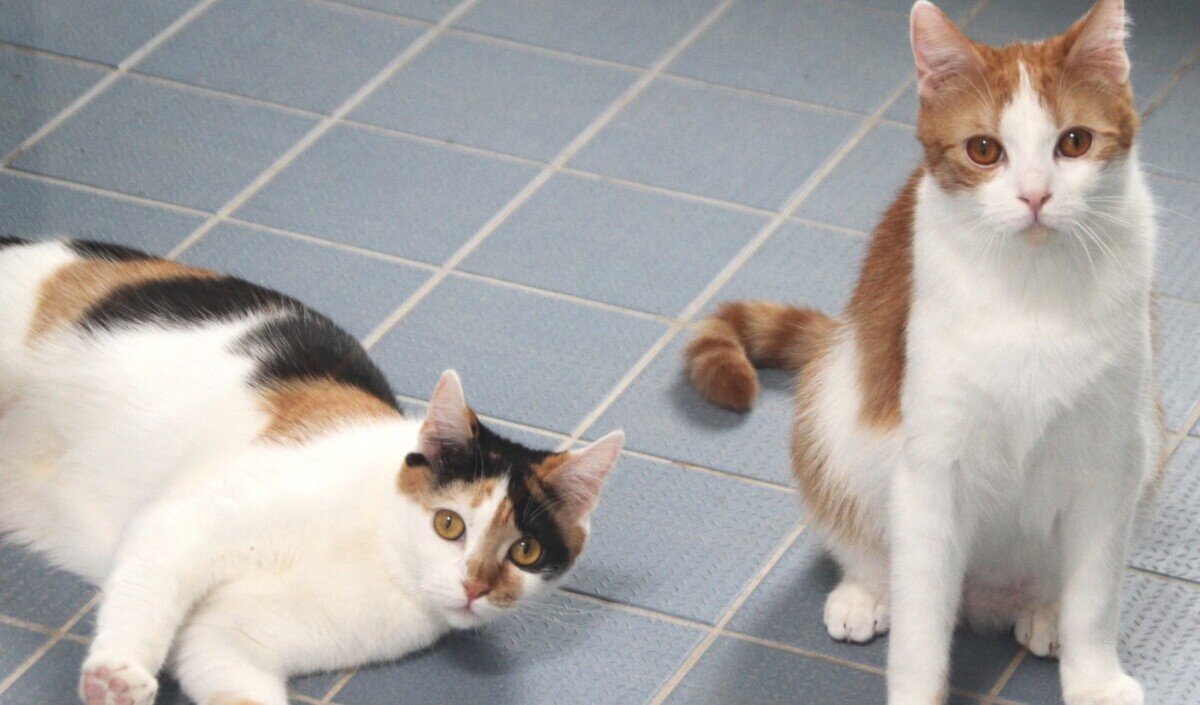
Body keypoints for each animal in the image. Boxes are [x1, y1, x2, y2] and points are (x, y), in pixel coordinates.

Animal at [0, 236, 624, 705]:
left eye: (525, 552)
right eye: (449, 524)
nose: (475, 586)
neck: (376, 553)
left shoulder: (231, 634)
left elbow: (220, 660)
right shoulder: (185, 521)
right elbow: (148, 595)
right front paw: (117, 674)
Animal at [685, 1, 1158, 704]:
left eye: (1074, 141)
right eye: (984, 149)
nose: (1035, 196)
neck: (1032, 292)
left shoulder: (1110, 453)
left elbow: (1095, 593)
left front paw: (1094, 678)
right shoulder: (933, 461)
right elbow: (921, 619)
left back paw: (1045, 610)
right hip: (835, 405)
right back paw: (866, 591)